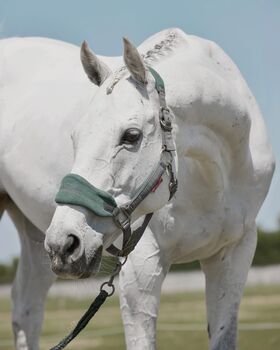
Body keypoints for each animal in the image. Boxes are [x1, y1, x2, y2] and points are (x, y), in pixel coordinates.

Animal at [0, 29, 274, 350]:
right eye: (75, 136)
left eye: (131, 135)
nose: (65, 244)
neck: (213, 176)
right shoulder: (142, 267)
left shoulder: (233, 254)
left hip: (35, 234)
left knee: (27, 307)